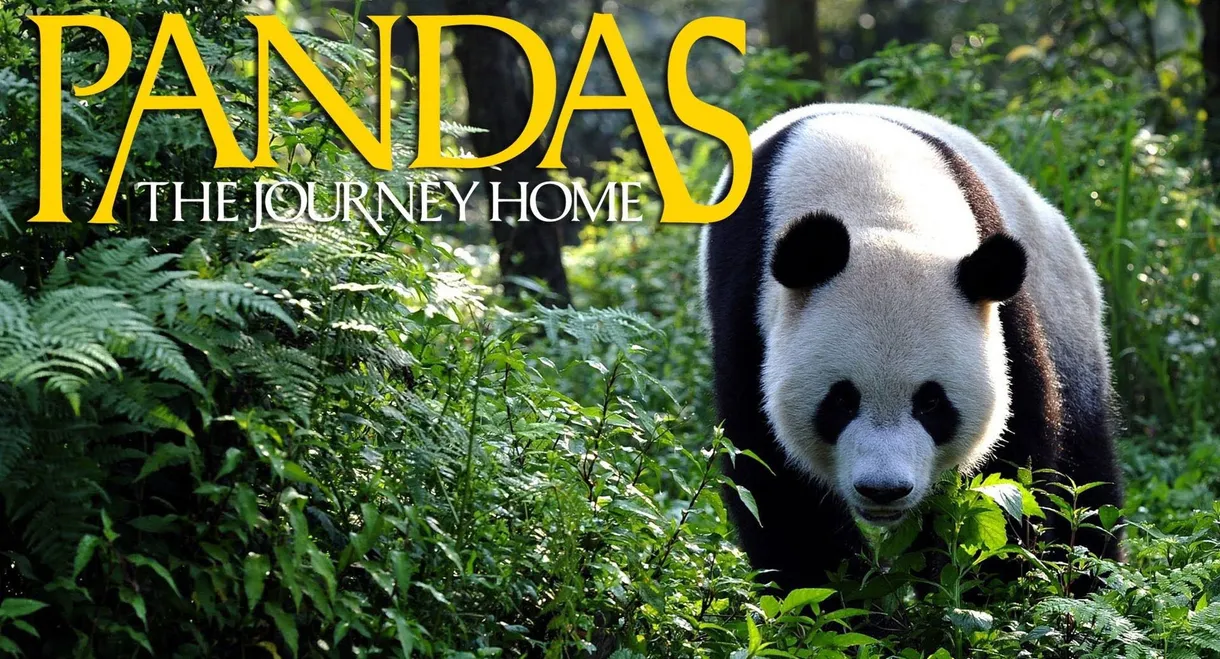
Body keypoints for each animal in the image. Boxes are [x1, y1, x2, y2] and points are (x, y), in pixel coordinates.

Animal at [699, 103, 1124, 592]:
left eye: (932, 403)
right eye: (841, 400)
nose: (883, 490)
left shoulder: (1003, 310)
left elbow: (1013, 462)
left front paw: (983, 588)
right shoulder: (748, 311)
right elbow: (773, 479)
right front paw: (840, 596)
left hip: (1065, 313)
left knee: (1086, 474)